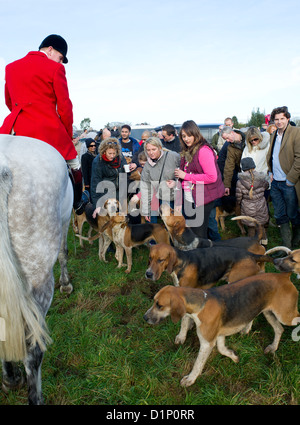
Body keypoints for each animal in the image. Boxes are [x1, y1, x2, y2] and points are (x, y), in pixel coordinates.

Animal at [0, 134, 72, 402]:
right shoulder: (65, 220)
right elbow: (63, 252)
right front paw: (66, 284)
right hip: (39, 282)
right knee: (33, 353)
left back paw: (11, 378)